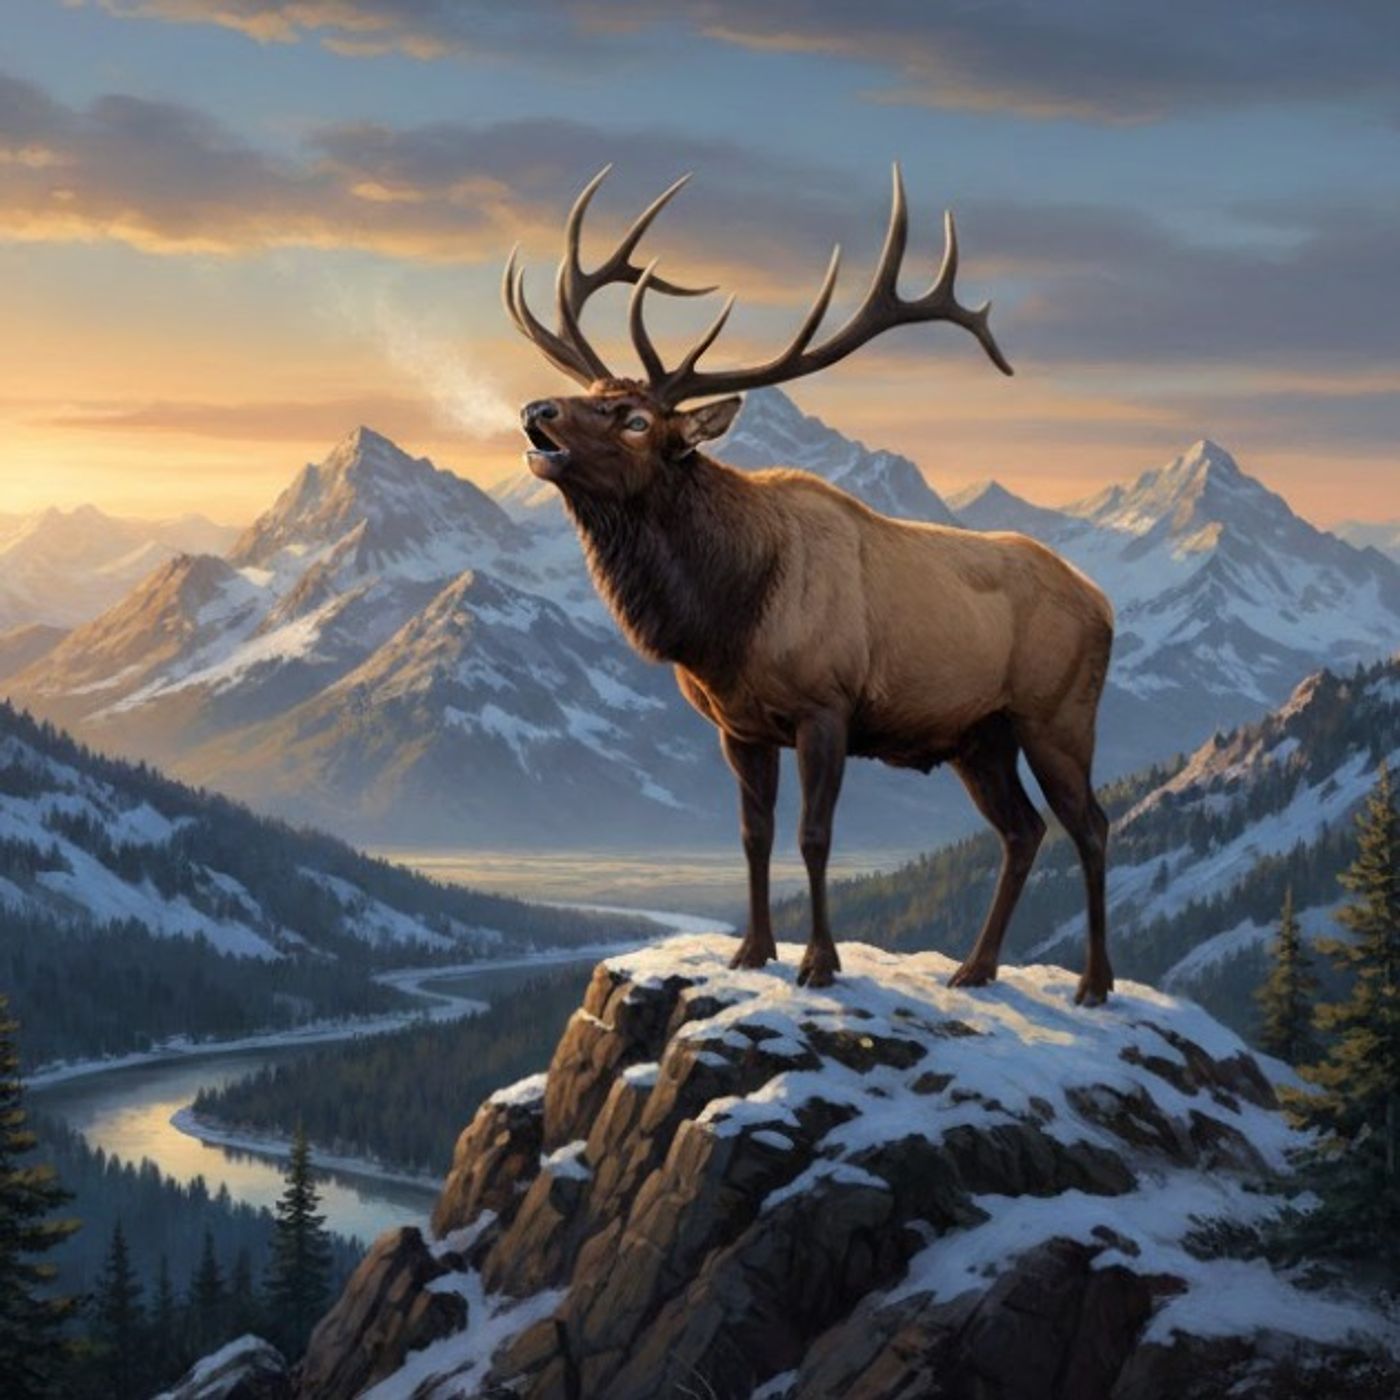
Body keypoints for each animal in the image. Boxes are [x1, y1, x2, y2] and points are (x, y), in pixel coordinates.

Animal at [505, 165, 1116, 1004]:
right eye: (590, 390)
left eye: (635, 420)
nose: (538, 409)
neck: (725, 618)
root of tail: (1105, 603)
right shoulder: (736, 725)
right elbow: (753, 834)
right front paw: (752, 951)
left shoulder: (827, 706)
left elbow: (815, 835)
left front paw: (820, 963)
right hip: (980, 734)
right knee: (1022, 830)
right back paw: (976, 966)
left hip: (1056, 714)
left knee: (1090, 825)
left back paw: (1094, 982)